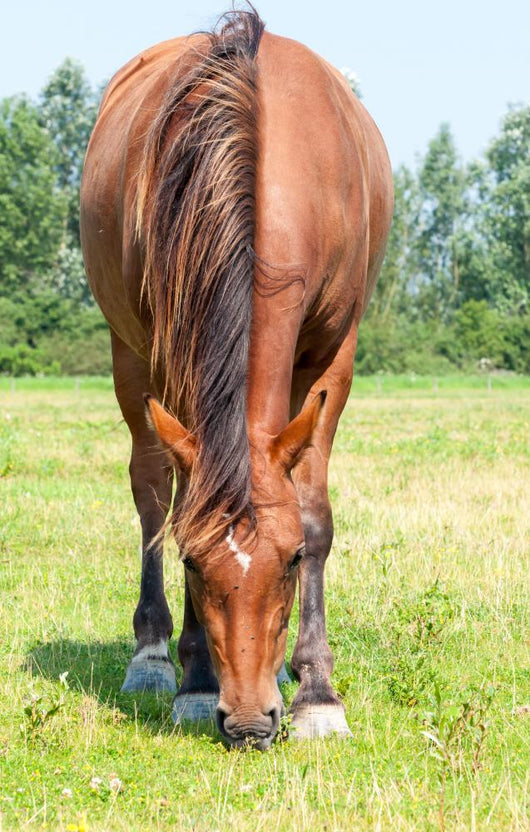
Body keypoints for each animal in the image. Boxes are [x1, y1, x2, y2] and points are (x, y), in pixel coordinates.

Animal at [80, 6, 393, 750]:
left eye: (291, 562)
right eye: (194, 563)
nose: (249, 722)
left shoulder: (336, 354)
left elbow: (314, 512)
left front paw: (316, 692)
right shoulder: (171, 351)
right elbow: (180, 504)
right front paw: (195, 684)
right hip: (131, 357)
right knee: (150, 493)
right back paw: (153, 655)